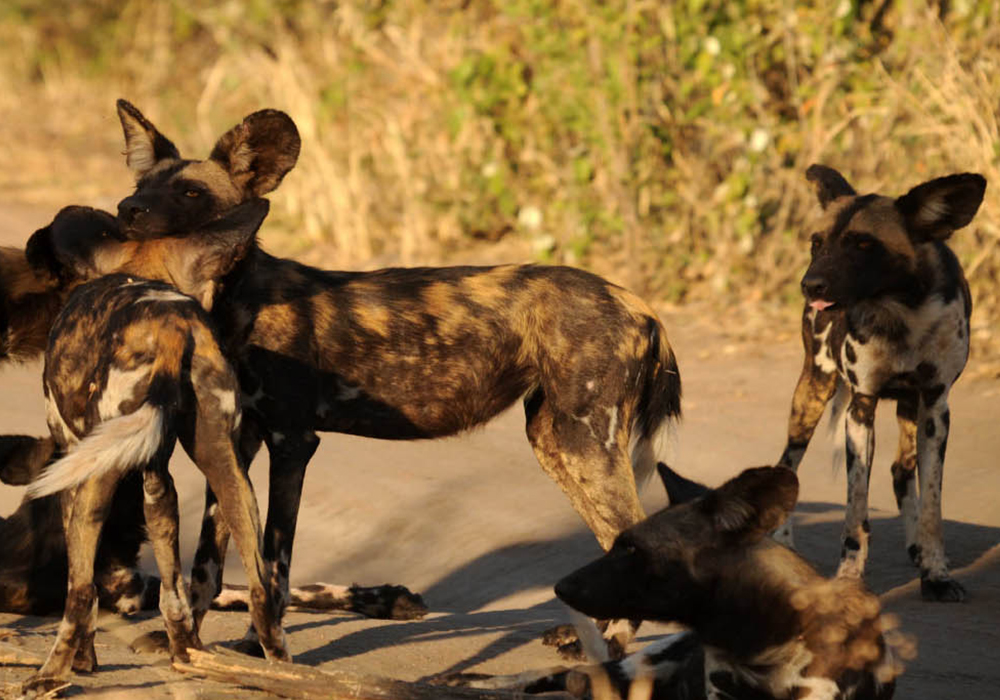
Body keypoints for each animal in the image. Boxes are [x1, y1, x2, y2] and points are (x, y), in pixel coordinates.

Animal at [18, 201, 292, 688]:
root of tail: (169, 327)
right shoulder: (159, 477)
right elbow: (174, 591)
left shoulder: (75, 472)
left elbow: (86, 590)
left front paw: (85, 661)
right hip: (228, 470)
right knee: (260, 589)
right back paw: (268, 670)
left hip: (95, 481)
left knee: (79, 592)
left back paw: (49, 676)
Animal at [113, 100, 684, 656]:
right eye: (142, 185)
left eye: (190, 192)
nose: (127, 209)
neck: (235, 299)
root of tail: (640, 305)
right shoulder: (237, 441)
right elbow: (209, 562)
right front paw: (187, 642)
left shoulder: (292, 443)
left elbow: (274, 565)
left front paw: (261, 648)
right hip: (555, 443)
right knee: (612, 539)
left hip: (584, 443)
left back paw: (611, 643)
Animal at [772, 164, 984, 600]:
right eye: (816, 243)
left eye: (863, 244)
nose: (809, 285)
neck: (900, 310)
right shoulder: (861, 407)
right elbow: (856, 512)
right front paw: (849, 580)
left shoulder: (935, 407)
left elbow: (933, 506)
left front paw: (935, 574)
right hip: (812, 393)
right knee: (788, 462)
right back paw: (783, 542)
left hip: (909, 409)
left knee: (901, 471)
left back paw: (917, 549)